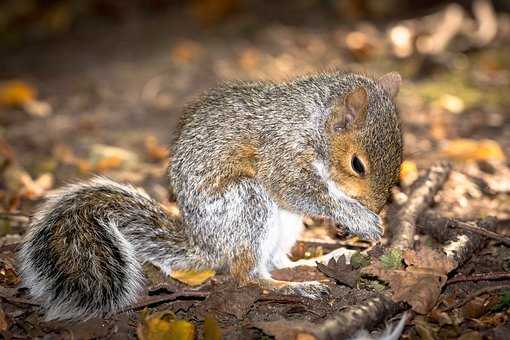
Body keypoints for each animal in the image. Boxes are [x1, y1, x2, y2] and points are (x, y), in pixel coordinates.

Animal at [18, 70, 402, 320]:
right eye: (357, 164)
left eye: (400, 160)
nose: (375, 207)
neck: (312, 122)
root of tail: (205, 245)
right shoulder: (280, 152)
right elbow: (296, 190)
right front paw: (359, 219)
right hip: (247, 204)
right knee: (247, 274)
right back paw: (293, 288)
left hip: (284, 225)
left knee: (276, 261)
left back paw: (314, 262)